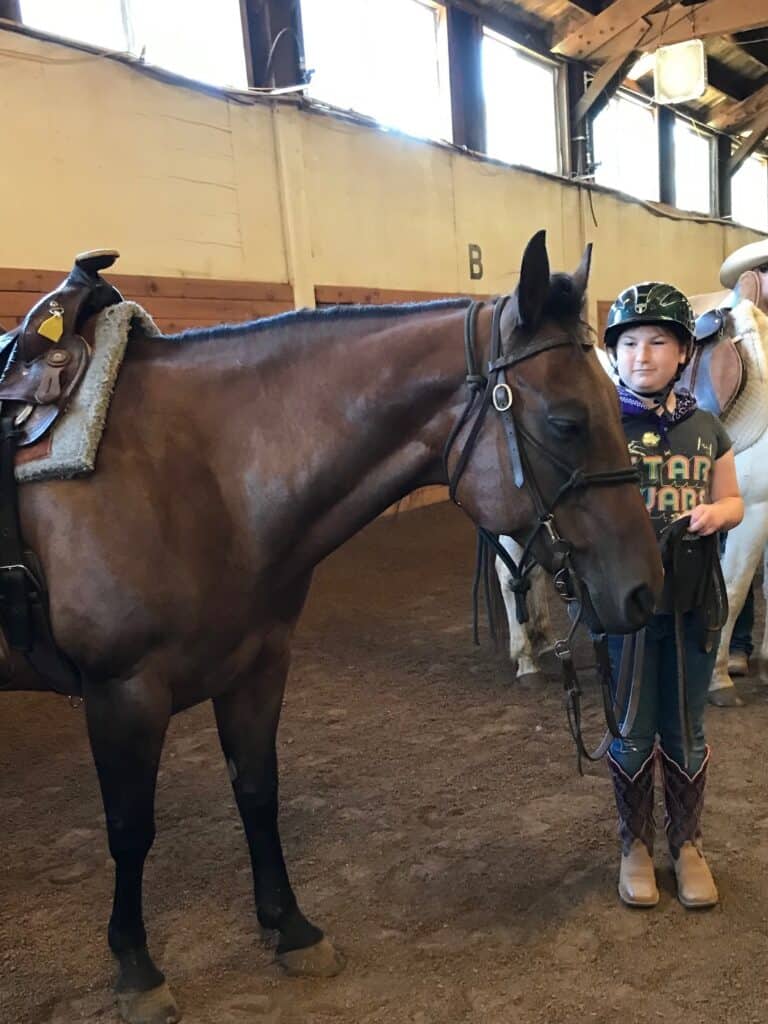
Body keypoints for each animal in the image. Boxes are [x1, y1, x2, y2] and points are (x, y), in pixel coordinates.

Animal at [1, 232, 663, 1024]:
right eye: (567, 421)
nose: (645, 590)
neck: (202, 474)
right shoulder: (121, 693)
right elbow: (131, 829)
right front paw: (136, 968)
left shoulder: (257, 667)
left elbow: (257, 791)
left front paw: (290, 929)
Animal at [499, 299, 768, 704]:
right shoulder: (754, 510)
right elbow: (735, 591)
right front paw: (719, 678)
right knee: (510, 575)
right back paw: (527, 660)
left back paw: (544, 642)